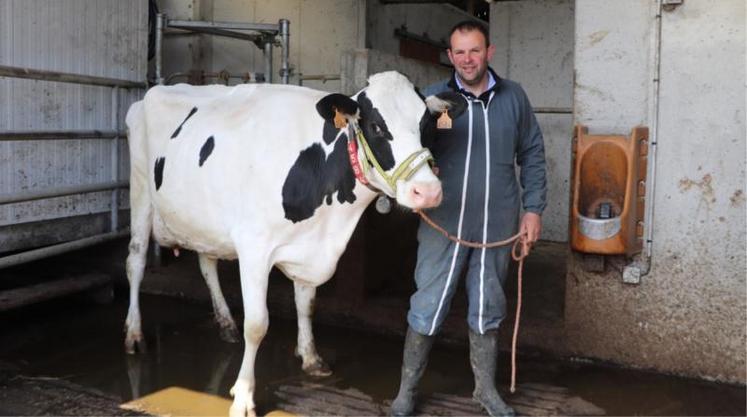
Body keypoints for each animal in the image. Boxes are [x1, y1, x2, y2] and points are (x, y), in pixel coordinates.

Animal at [122, 72, 462, 416]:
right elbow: (257, 324)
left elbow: (306, 305)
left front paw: (311, 357)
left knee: (207, 263)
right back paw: (134, 333)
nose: (428, 191)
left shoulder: (309, 247)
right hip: (141, 193)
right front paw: (243, 395)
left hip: (205, 220)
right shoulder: (254, 248)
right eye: (377, 126)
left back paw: (226, 322)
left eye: (427, 126)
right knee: (135, 262)